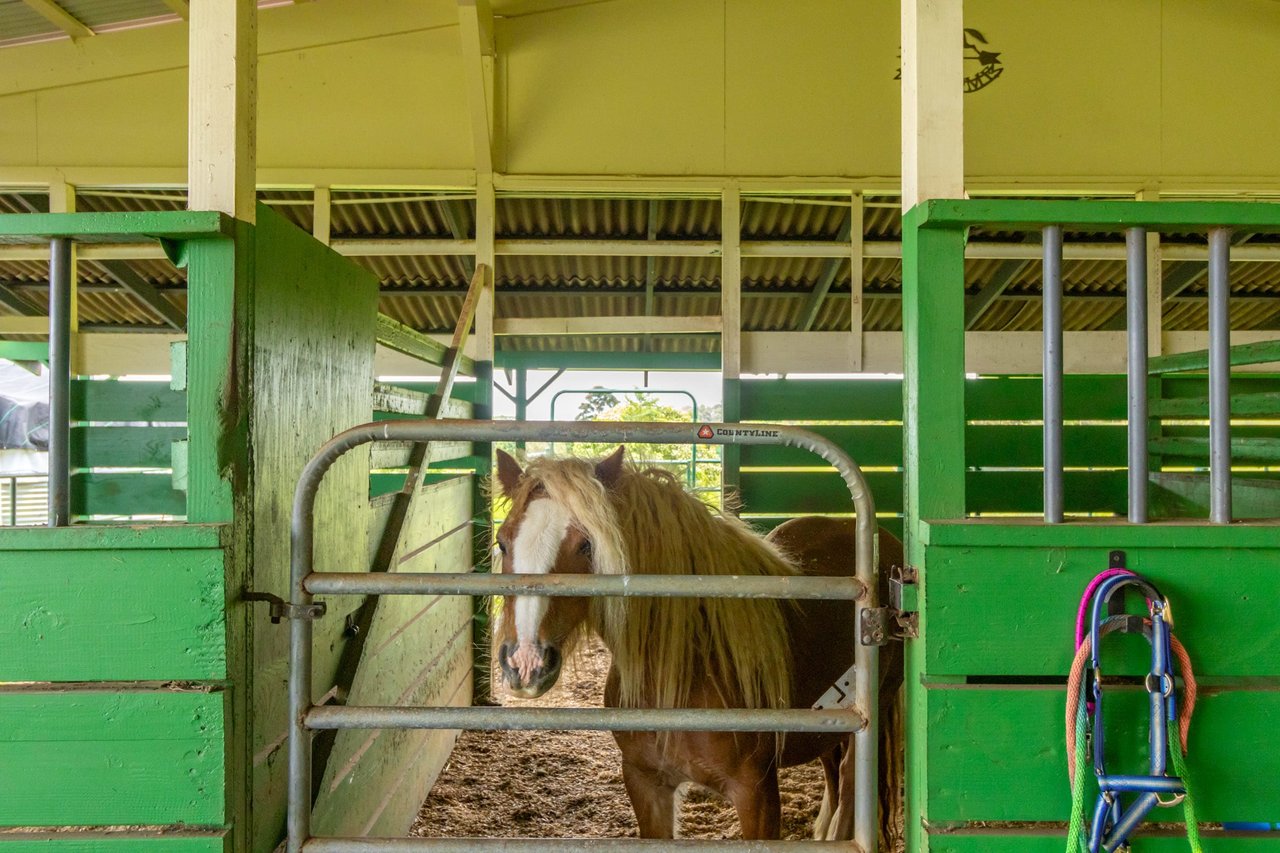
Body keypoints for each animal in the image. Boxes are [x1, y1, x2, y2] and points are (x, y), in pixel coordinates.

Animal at [486, 445, 901, 845]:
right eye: (502, 542)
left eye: (586, 545)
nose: (525, 662)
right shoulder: (646, 784)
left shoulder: (757, 795)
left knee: (849, 787)